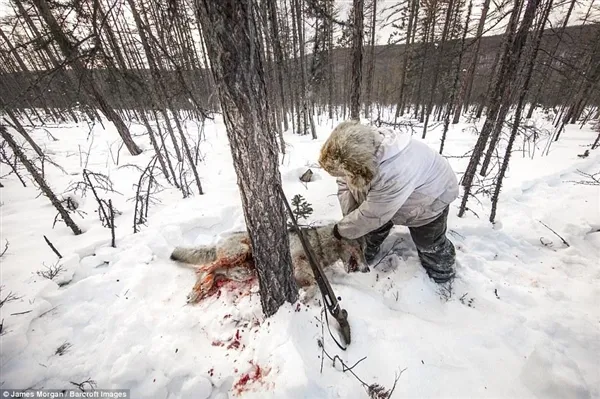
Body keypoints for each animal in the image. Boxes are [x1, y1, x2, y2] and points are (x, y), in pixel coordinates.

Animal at [170, 225, 370, 304]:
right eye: (360, 248)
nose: (368, 269)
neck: (319, 244)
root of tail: (219, 242)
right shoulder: (297, 264)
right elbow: (314, 284)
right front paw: (306, 296)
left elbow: (314, 283)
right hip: (240, 252)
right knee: (205, 268)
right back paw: (198, 290)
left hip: (242, 271)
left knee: (213, 271)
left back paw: (202, 289)